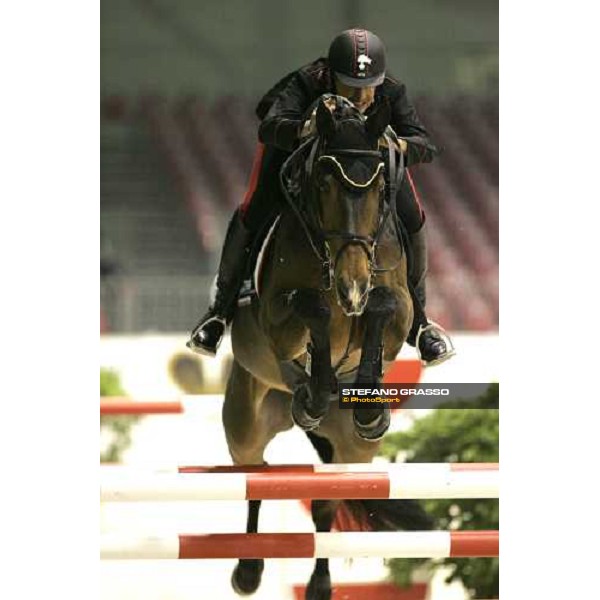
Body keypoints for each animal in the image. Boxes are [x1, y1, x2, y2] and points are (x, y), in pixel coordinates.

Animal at [220, 95, 432, 600]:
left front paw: (368, 406)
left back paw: (319, 584)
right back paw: (248, 570)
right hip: (246, 420)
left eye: (379, 188)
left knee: (324, 502)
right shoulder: (276, 320)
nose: (352, 284)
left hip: (352, 452)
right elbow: (312, 308)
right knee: (255, 478)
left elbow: (384, 306)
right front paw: (315, 392)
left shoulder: (398, 312)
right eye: (323, 181)